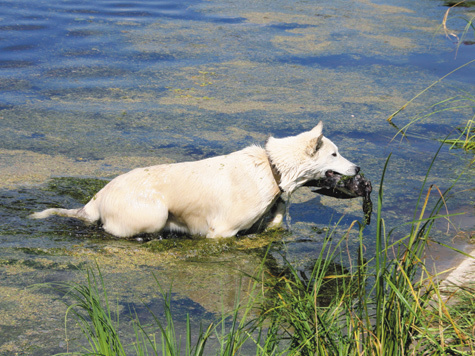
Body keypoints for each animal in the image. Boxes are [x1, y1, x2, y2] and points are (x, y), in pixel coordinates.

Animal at [30, 121, 356, 238]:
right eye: (335, 154)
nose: (358, 168)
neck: (272, 168)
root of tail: (96, 198)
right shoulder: (221, 232)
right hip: (155, 214)